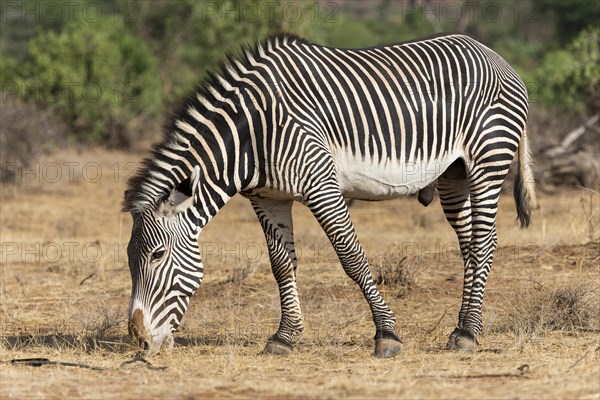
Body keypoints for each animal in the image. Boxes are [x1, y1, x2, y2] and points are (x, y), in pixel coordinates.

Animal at [124, 33, 536, 356]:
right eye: (129, 257)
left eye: (158, 255)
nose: (139, 342)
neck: (252, 133)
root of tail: (496, 56)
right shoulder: (268, 197)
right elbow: (281, 265)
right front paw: (285, 336)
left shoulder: (321, 184)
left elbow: (351, 257)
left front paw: (386, 333)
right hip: (454, 174)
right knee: (470, 244)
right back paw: (465, 326)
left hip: (488, 160)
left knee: (483, 242)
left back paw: (467, 334)